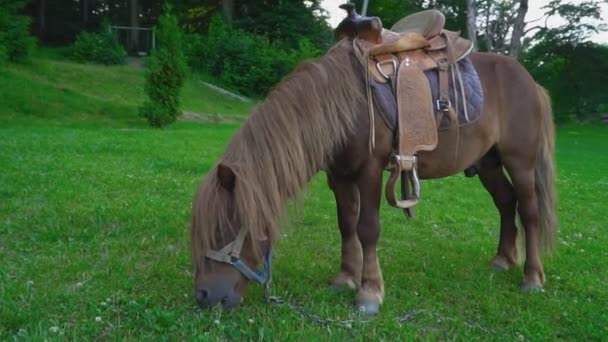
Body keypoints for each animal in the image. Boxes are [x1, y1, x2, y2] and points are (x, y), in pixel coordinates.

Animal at [189, 38, 556, 316]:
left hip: (520, 163)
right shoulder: (339, 176)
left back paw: (532, 278)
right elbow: (346, 225)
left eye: (224, 228)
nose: (203, 296)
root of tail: (532, 82)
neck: (343, 106)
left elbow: (367, 229)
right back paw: (503, 259)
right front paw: (346, 278)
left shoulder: (369, 172)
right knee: (507, 204)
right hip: (488, 164)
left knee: (529, 212)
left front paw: (369, 291)